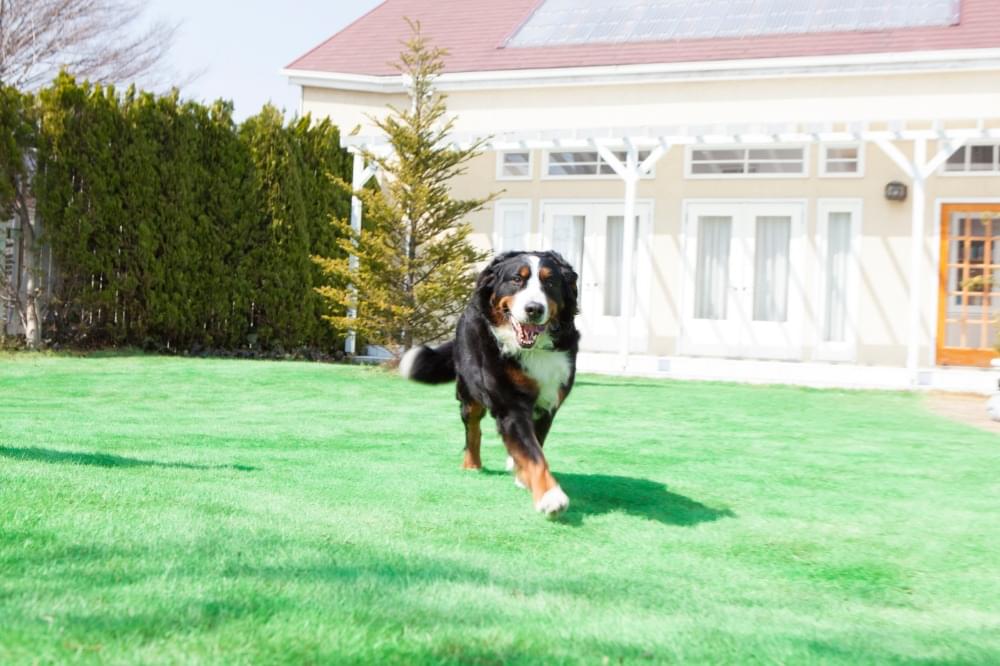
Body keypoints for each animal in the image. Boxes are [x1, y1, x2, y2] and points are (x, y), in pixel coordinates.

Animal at [400, 252, 580, 516]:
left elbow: (534, 445)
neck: (533, 350)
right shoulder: (510, 406)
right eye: (517, 279)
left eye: (550, 282)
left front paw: (525, 476)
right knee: (473, 430)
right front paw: (550, 495)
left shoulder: (548, 403)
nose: (534, 309)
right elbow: (534, 455)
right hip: (469, 394)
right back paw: (471, 464)